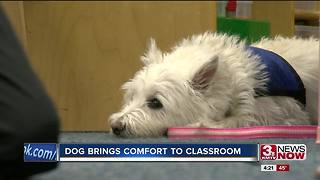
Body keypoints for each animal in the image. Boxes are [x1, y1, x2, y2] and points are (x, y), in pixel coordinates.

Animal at [109, 32, 318, 136]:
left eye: (155, 103)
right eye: (131, 97)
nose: (115, 126)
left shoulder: (276, 114)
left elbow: (238, 121)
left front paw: (201, 125)